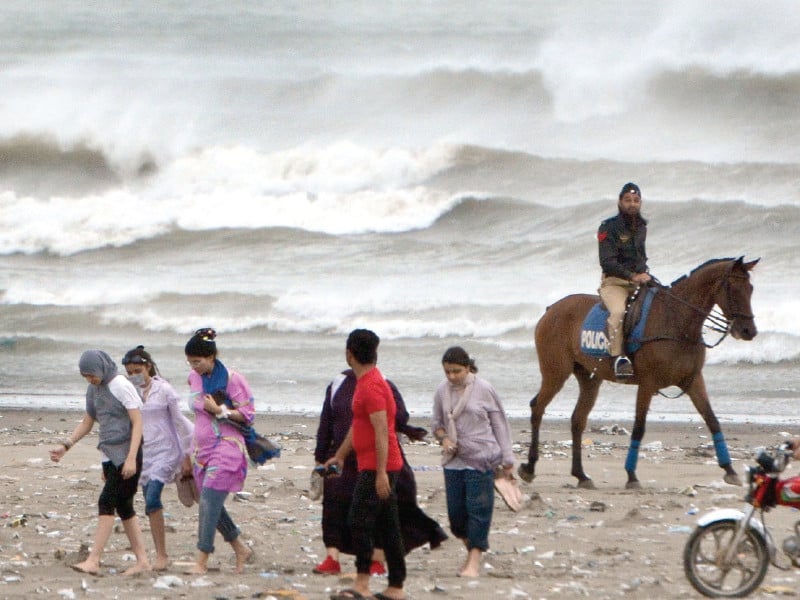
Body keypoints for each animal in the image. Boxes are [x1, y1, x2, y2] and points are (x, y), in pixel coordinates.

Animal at [520, 256, 756, 488]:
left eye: (751, 288)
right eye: (733, 288)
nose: (749, 331)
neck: (676, 321)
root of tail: (552, 309)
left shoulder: (693, 381)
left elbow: (712, 421)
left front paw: (730, 470)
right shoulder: (647, 384)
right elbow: (639, 428)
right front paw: (631, 475)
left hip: (589, 379)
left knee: (578, 420)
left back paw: (581, 475)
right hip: (555, 373)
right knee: (538, 408)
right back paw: (529, 467)